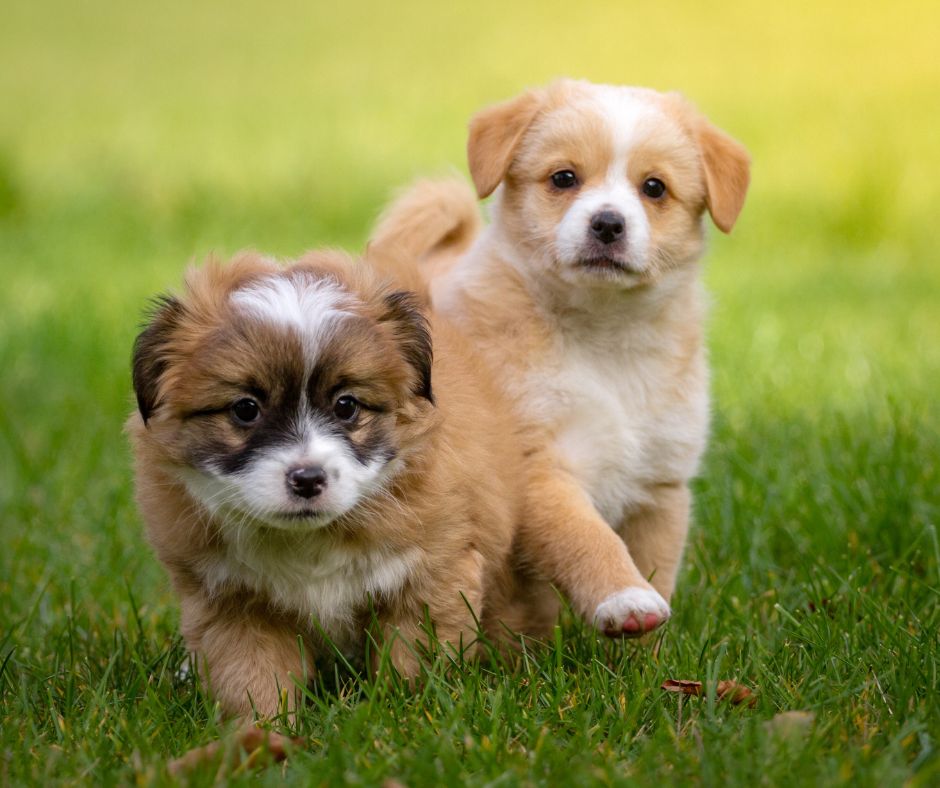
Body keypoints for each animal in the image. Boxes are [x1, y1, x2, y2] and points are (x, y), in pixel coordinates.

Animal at [129, 249, 548, 716]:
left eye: (346, 405)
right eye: (245, 409)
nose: (307, 479)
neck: (311, 541)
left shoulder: (432, 576)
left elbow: (412, 662)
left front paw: (406, 711)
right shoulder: (232, 602)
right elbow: (252, 677)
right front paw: (263, 728)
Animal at [370, 77, 752, 636]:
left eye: (654, 187)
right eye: (564, 178)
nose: (608, 224)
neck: (604, 340)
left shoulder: (660, 486)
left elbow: (657, 570)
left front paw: (650, 648)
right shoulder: (537, 469)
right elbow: (586, 538)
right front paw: (624, 598)